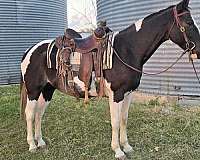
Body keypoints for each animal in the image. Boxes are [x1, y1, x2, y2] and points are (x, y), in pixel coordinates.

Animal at [19, 0, 200, 159]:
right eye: (189, 22)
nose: (198, 50)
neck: (127, 50)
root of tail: (30, 50)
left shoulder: (128, 93)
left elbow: (124, 119)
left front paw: (127, 146)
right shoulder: (116, 94)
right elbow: (115, 121)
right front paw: (118, 151)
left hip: (47, 90)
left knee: (39, 114)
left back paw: (41, 142)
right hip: (33, 90)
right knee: (30, 114)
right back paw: (32, 145)